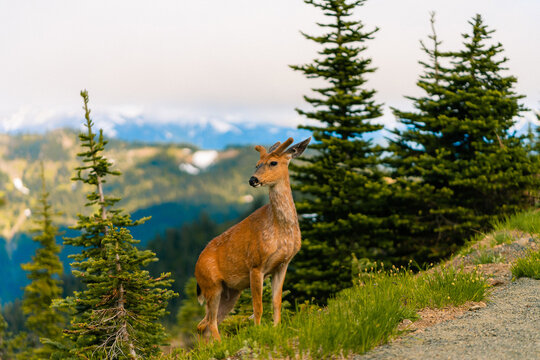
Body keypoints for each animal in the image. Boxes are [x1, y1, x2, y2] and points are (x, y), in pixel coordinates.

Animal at [195, 136, 312, 340]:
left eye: (273, 162)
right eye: (256, 165)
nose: (253, 179)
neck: (280, 230)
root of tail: (195, 269)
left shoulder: (282, 264)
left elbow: (276, 301)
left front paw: (276, 328)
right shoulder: (255, 264)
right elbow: (258, 306)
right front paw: (258, 332)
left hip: (230, 291)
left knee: (204, 324)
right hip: (211, 285)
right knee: (209, 322)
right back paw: (219, 343)